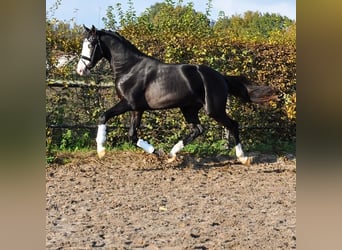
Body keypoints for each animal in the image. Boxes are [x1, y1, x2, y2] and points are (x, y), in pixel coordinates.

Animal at [76, 25, 274, 164]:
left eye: (91, 44)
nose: (80, 69)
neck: (129, 68)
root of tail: (221, 77)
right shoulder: (137, 109)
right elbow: (132, 135)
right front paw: (158, 152)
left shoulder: (128, 104)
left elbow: (103, 116)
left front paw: (101, 150)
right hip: (188, 108)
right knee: (198, 129)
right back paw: (171, 154)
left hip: (213, 109)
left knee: (233, 125)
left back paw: (243, 157)